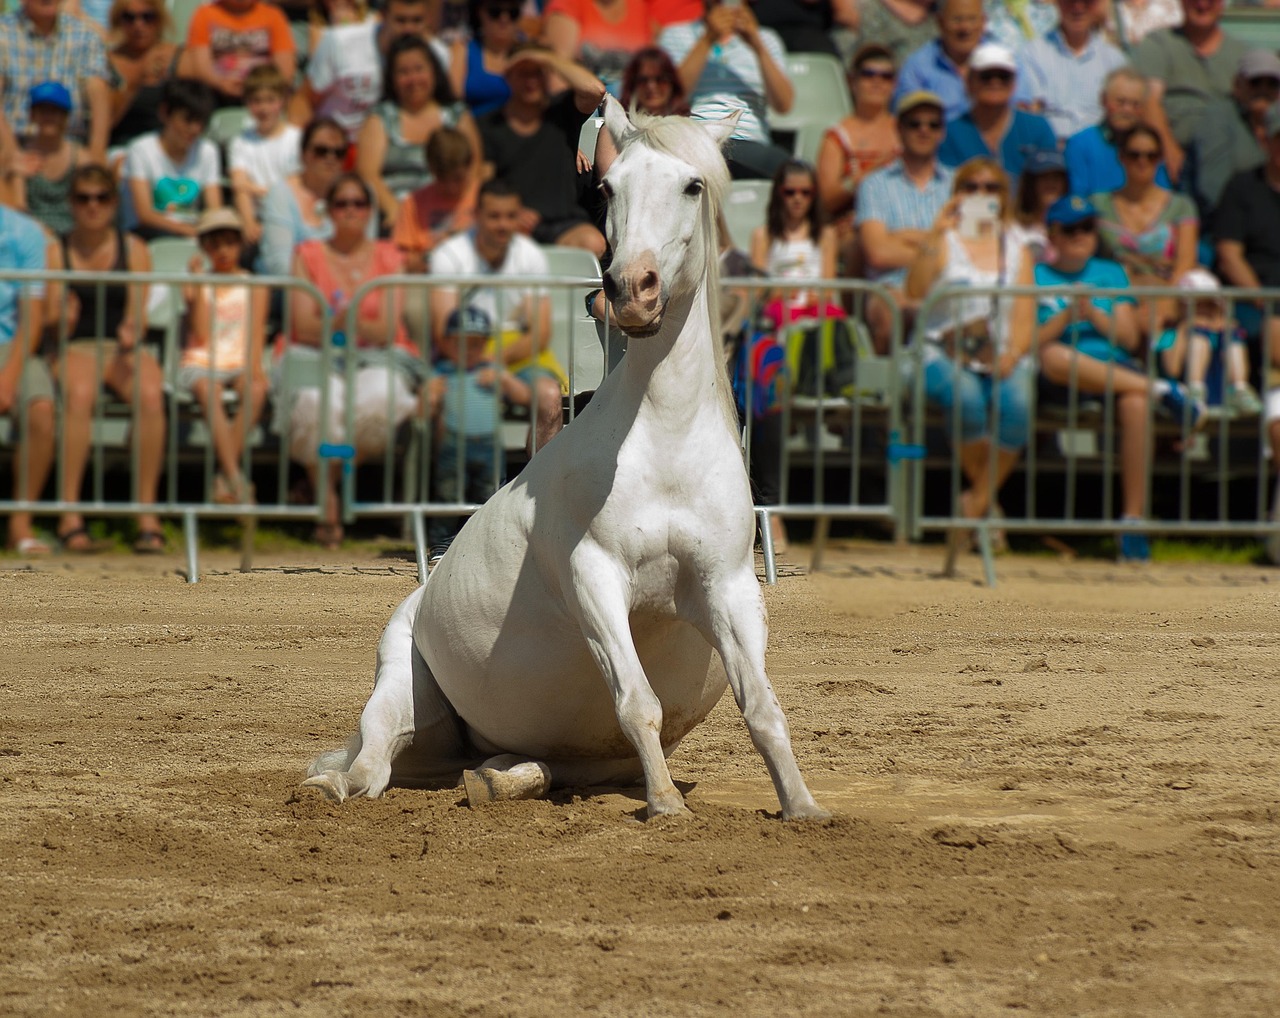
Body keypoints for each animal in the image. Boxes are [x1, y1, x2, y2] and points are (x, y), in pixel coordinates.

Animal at [303, 97, 829, 821]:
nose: (632, 289)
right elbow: (637, 702)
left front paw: (803, 807)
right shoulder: (595, 578)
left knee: (524, 766)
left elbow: (763, 708)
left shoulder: (728, 589)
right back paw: (330, 786)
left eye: (693, 185)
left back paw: (495, 780)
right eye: (608, 188)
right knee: (373, 760)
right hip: (399, 687)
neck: (663, 443)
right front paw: (666, 807)